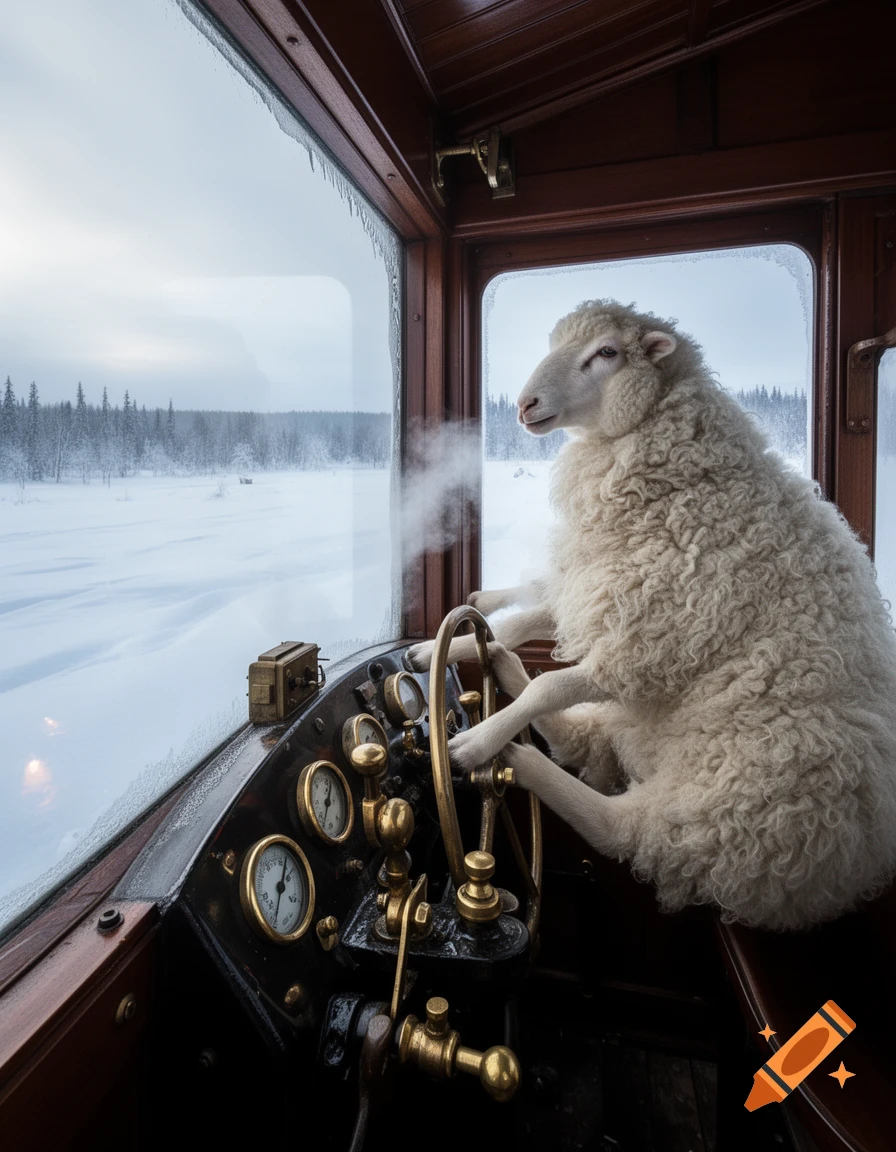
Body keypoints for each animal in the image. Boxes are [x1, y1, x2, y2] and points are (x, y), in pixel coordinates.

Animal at [409, 299, 896, 931]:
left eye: (607, 352)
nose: (523, 405)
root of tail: (859, 867)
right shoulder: (610, 592)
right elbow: (524, 621)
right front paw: (443, 644)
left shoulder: (656, 636)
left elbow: (553, 683)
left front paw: (479, 739)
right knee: (581, 742)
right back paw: (503, 674)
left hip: (735, 799)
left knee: (624, 829)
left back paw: (512, 755)